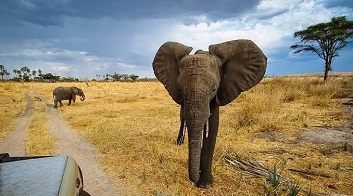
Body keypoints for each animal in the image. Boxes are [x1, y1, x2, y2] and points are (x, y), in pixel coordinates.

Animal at [152, 39, 266, 188]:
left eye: (214, 89)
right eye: (180, 89)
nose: (194, 181)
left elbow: (213, 126)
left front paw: (205, 185)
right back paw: (179, 143)